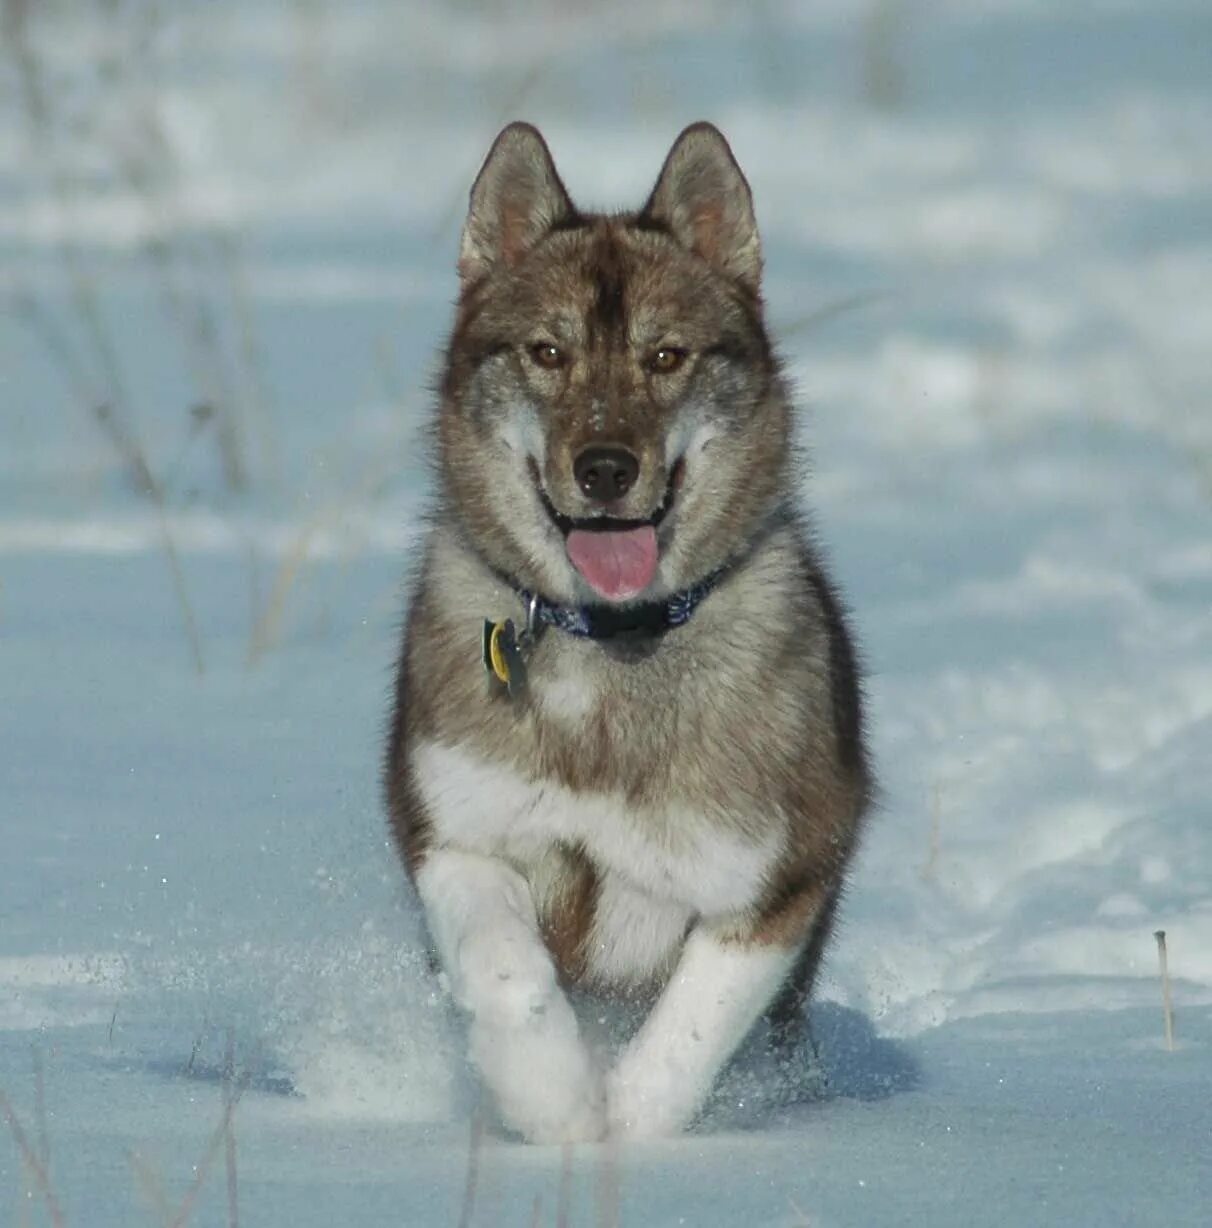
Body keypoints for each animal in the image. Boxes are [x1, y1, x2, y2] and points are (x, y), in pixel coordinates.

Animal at [383, 122, 869, 1139]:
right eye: (546, 351)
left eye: (668, 357)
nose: (605, 468)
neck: (608, 648)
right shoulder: (453, 829)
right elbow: (505, 969)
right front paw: (551, 1104)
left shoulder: (774, 881)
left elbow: (687, 1035)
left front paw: (622, 1134)